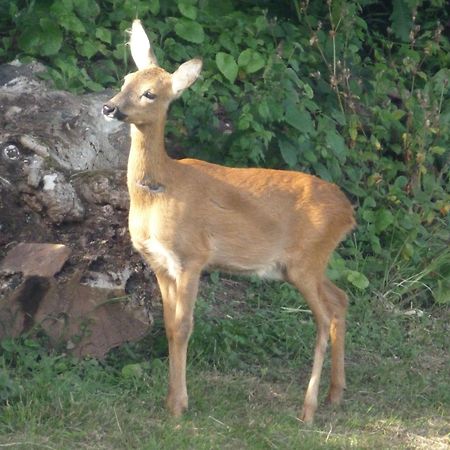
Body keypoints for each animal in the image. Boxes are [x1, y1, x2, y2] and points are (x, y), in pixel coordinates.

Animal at [102, 19, 356, 424]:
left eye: (150, 94)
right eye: (126, 78)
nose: (109, 107)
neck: (160, 190)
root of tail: (349, 212)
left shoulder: (192, 256)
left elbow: (184, 327)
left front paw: (178, 406)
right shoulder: (159, 262)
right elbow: (169, 327)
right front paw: (173, 399)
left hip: (305, 262)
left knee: (323, 316)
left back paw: (308, 408)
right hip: (305, 265)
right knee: (341, 300)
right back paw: (335, 394)